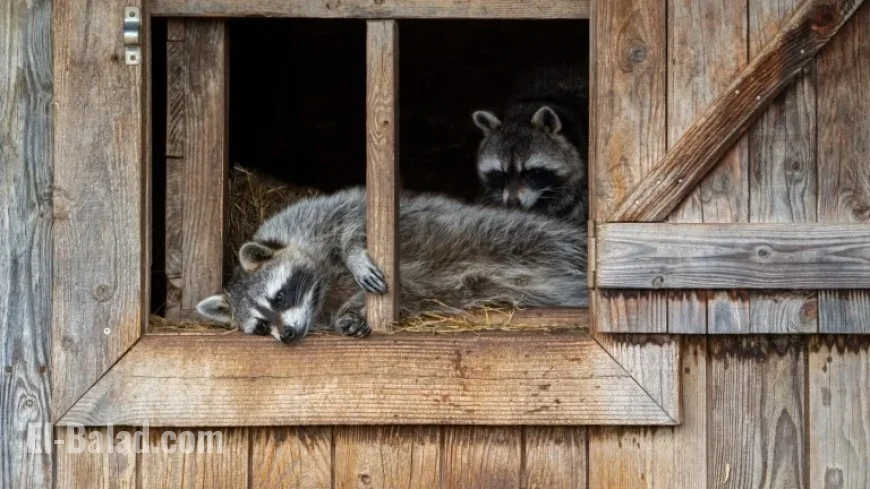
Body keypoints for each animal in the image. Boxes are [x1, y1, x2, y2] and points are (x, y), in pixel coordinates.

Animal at [196, 187, 588, 344]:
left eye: (279, 297)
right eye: (261, 326)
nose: (288, 335)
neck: (321, 290)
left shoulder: (319, 214)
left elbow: (356, 223)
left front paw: (354, 254)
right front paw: (348, 314)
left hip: (514, 235)